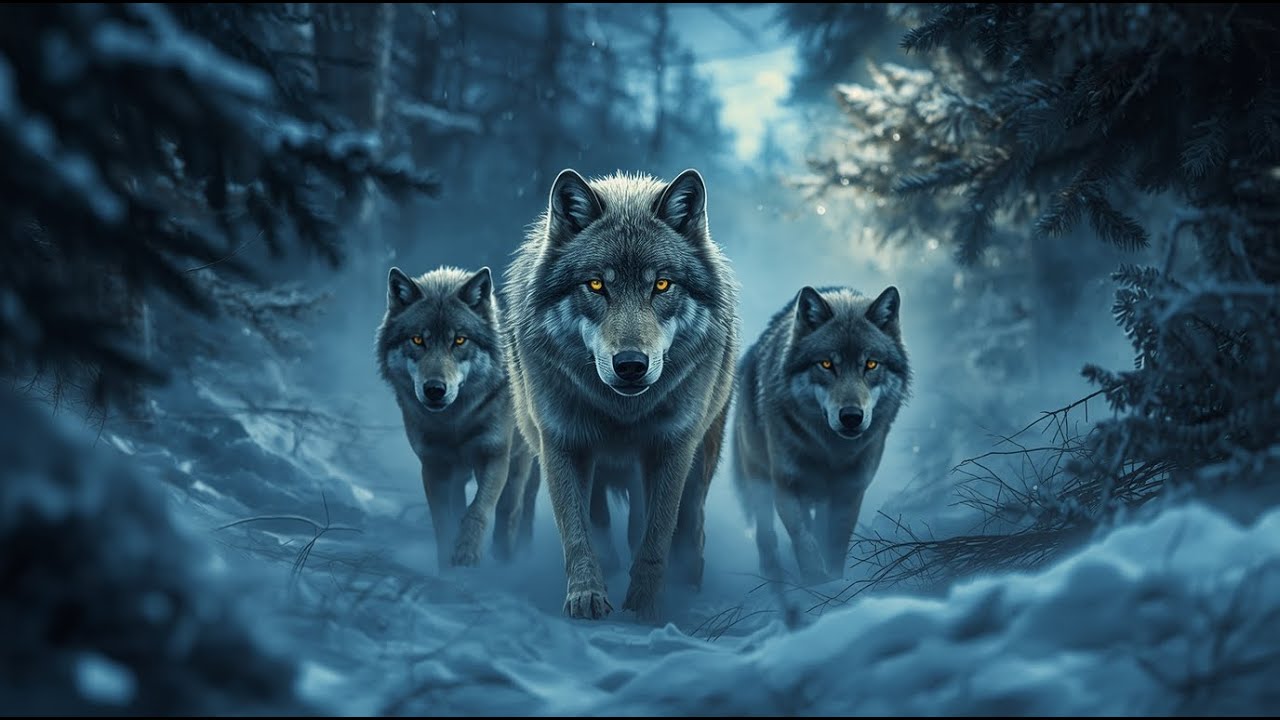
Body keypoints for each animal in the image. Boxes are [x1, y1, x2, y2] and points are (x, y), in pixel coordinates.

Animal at [376, 265, 538, 571]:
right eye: (418, 340)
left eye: (459, 340)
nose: (435, 389)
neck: (454, 422)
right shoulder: (435, 466)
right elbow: (443, 523)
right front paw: (447, 570)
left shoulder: (494, 456)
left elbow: (479, 510)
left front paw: (467, 552)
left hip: (521, 463)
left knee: (515, 509)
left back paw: (510, 559)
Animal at [502, 169, 738, 621]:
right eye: (596, 284)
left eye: (661, 284)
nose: (631, 364)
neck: (622, 411)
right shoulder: (561, 441)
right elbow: (578, 531)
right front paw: (587, 596)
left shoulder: (671, 445)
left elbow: (656, 535)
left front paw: (644, 608)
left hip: (701, 452)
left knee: (688, 516)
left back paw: (690, 573)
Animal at [733, 285, 909, 583]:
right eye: (826, 364)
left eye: (871, 364)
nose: (851, 416)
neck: (830, 450)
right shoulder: (787, 485)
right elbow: (803, 539)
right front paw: (815, 580)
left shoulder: (849, 490)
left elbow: (836, 543)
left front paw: (835, 581)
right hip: (758, 477)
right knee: (765, 533)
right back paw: (773, 577)